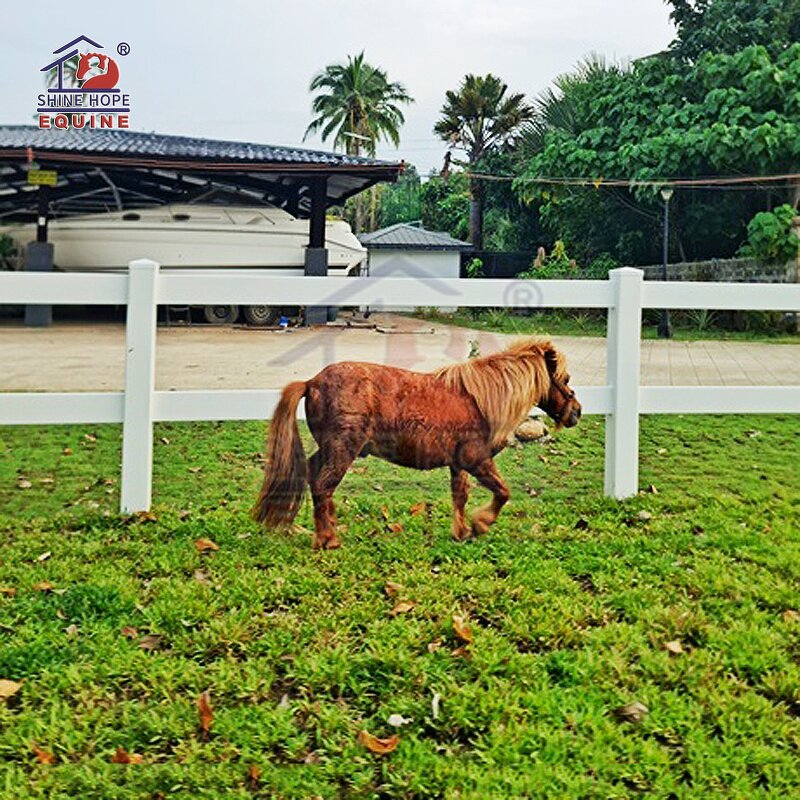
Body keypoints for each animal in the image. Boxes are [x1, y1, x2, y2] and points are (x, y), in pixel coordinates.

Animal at [253, 339, 581, 549]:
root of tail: (311, 383)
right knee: (323, 486)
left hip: (331, 450)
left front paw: (461, 531)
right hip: (342, 450)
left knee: (313, 476)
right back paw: (328, 539)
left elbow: (460, 496)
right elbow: (502, 492)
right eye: (565, 379)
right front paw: (481, 524)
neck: (481, 400)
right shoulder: (477, 461)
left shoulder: (458, 464)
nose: (576, 411)